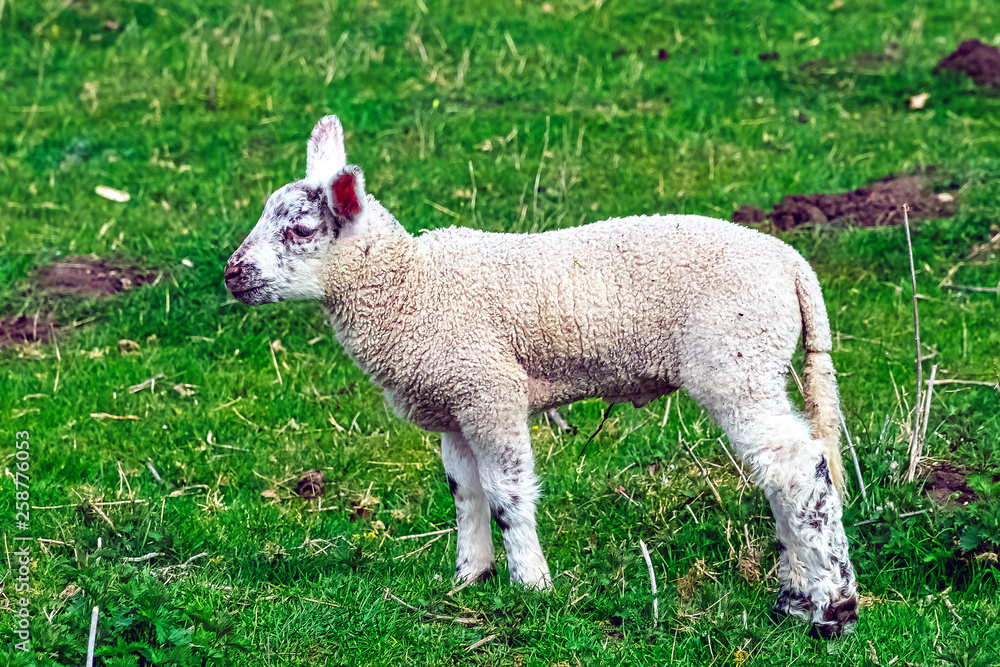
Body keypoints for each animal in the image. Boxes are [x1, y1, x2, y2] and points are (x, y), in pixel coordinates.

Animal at [224, 115, 859, 638]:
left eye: (301, 231)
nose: (231, 274)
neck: (410, 288)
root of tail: (792, 264)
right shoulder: (453, 403)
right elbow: (465, 492)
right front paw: (469, 578)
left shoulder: (489, 389)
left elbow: (506, 493)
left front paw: (531, 584)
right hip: (753, 364)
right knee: (782, 471)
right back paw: (795, 595)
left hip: (736, 359)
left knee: (800, 468)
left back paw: (833, 607)